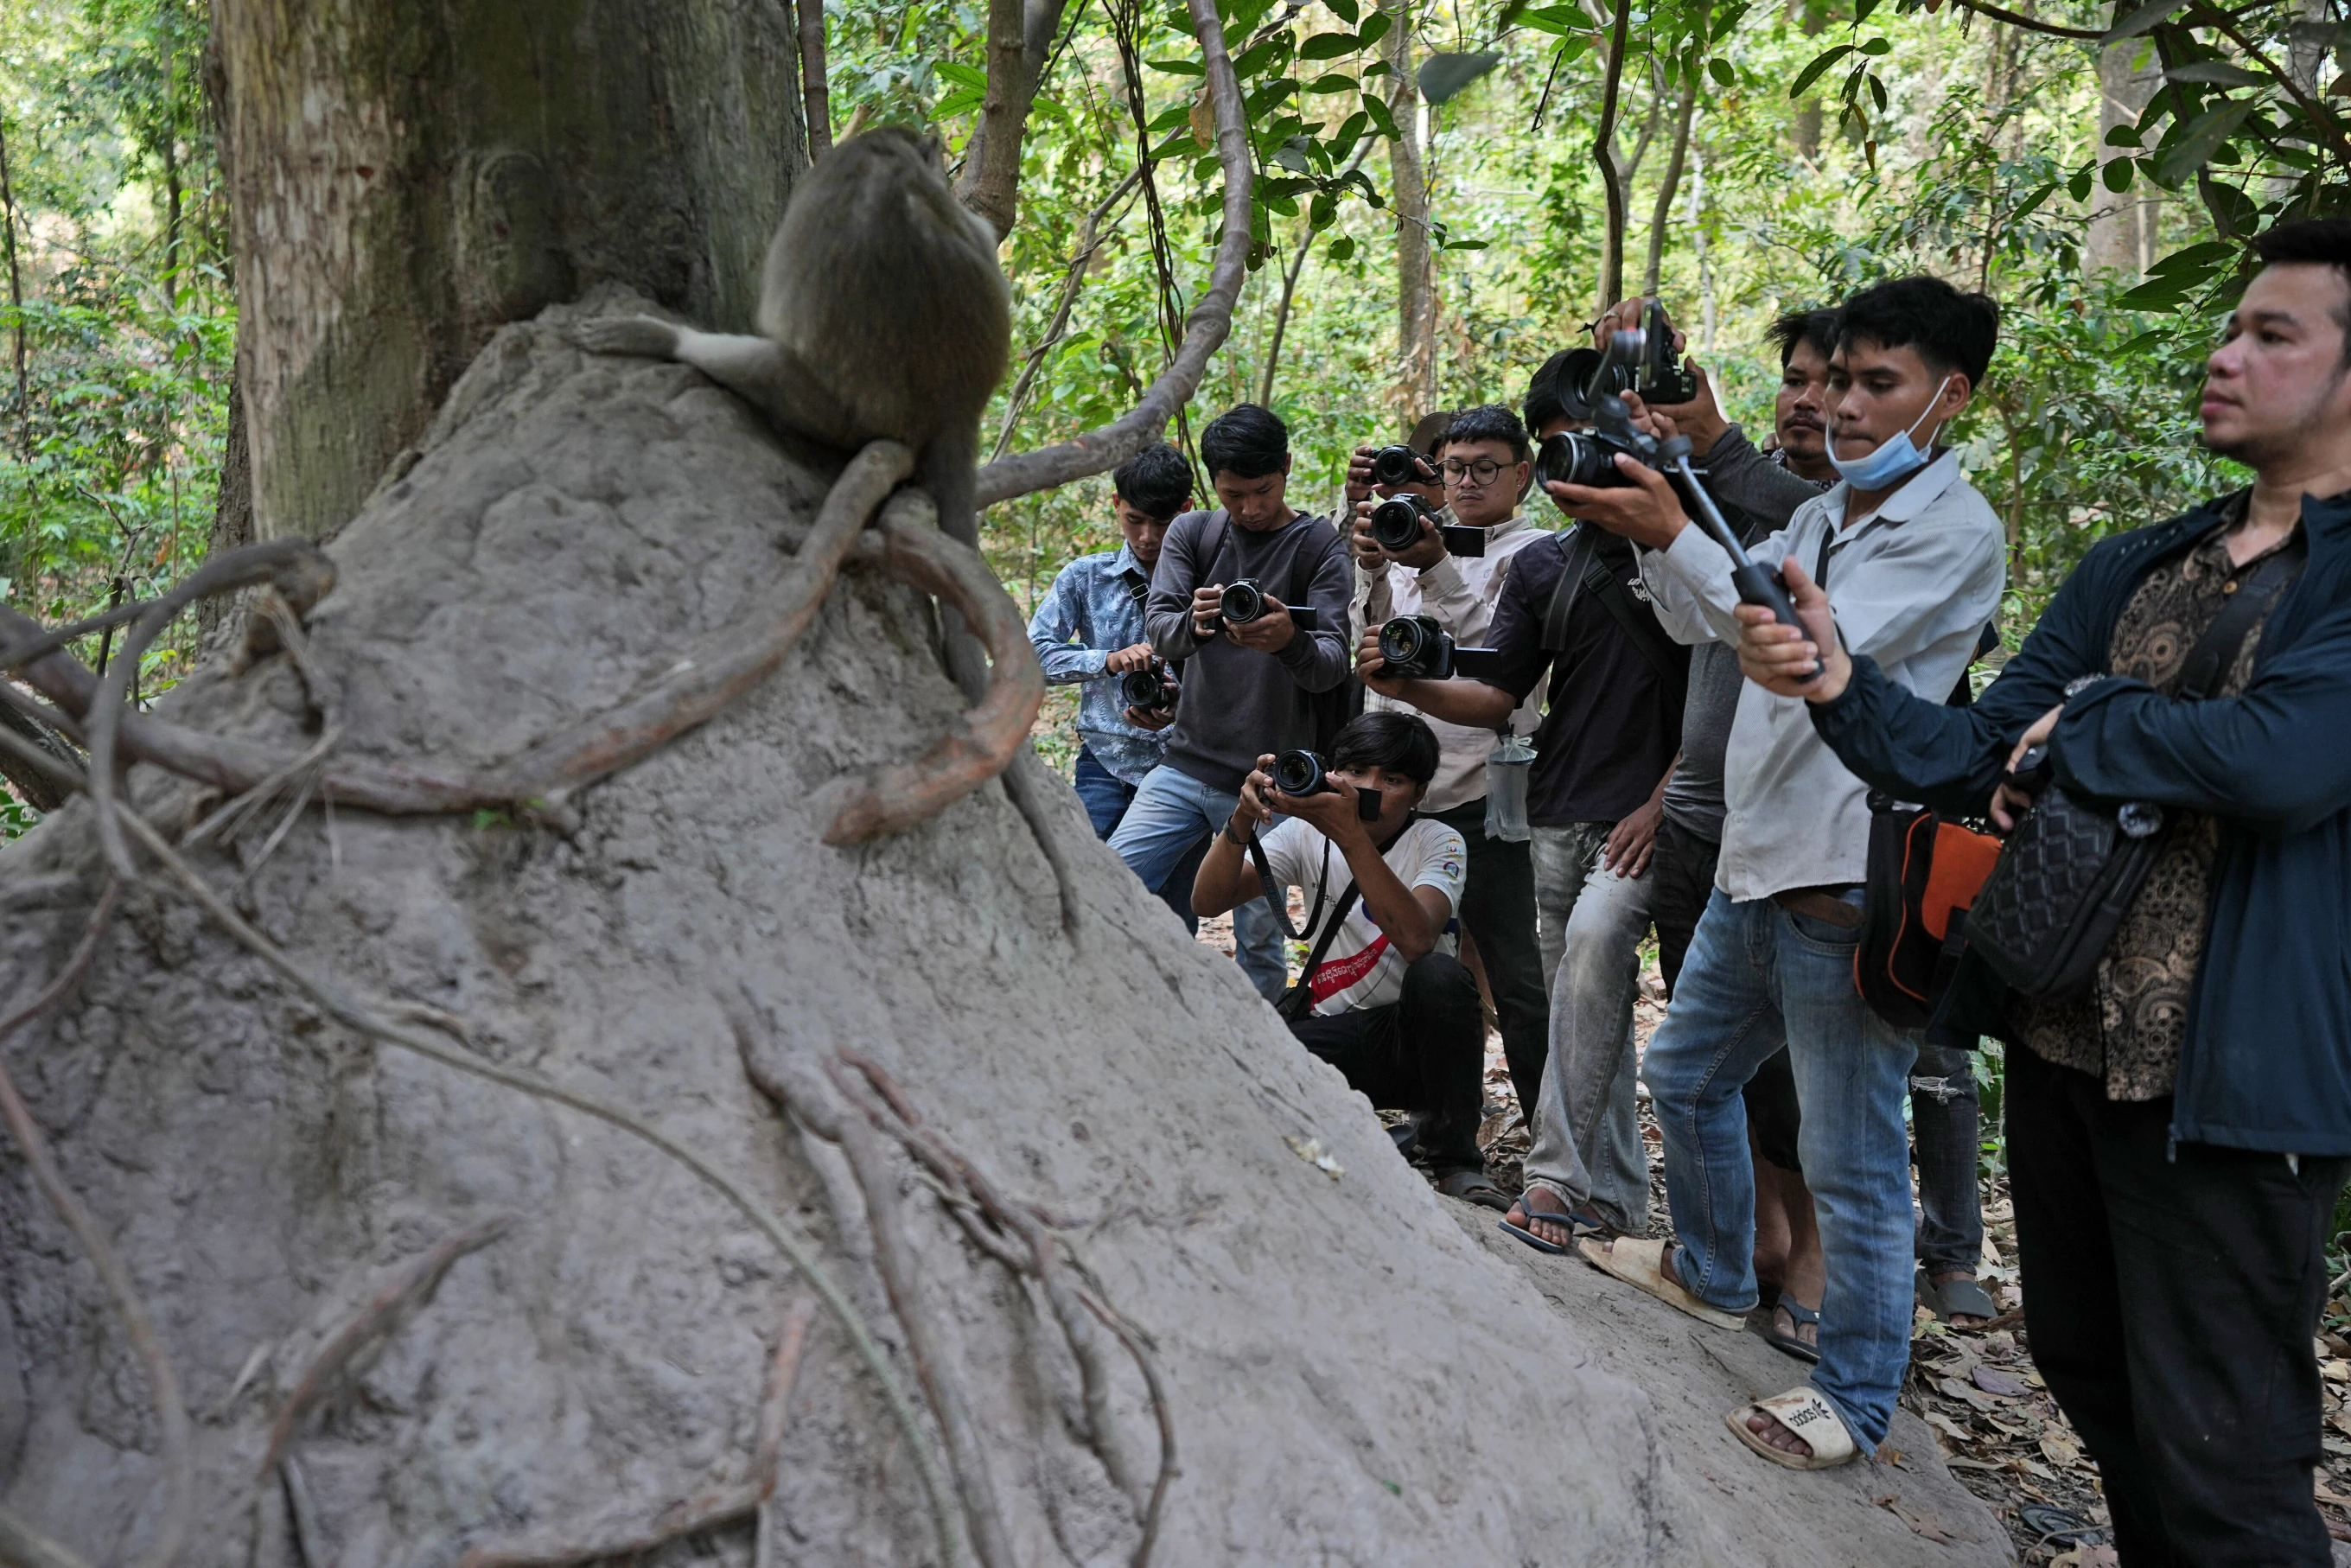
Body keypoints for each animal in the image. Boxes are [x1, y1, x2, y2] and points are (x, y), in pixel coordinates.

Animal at [578, 123, 1010, 543]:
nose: (945, 180)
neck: (885, 147)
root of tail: (956, 408)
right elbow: (983, 236)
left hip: (844, 419)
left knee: (767, 368)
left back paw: (666, 339)